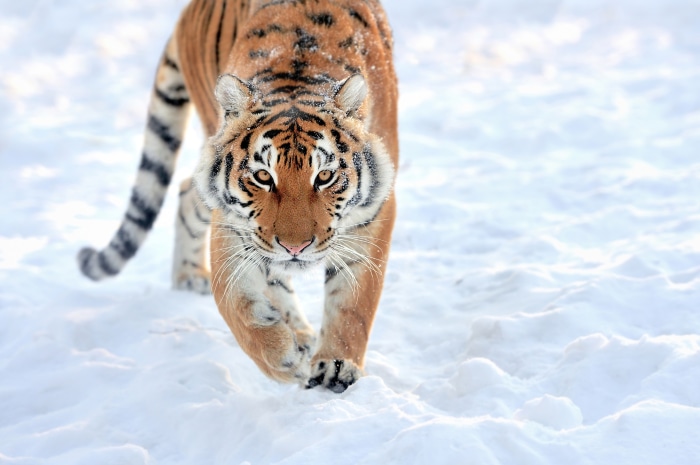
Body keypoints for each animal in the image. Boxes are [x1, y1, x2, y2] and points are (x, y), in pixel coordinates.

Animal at [77, 0, 398, 393]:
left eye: (324, 176)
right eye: (263, 176)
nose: (295, 247)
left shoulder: (375, 211)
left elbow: (353, 302)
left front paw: (336, 366)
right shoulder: (232, 222)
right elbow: (235, 304)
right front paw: (283, 358)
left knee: (187, 192)